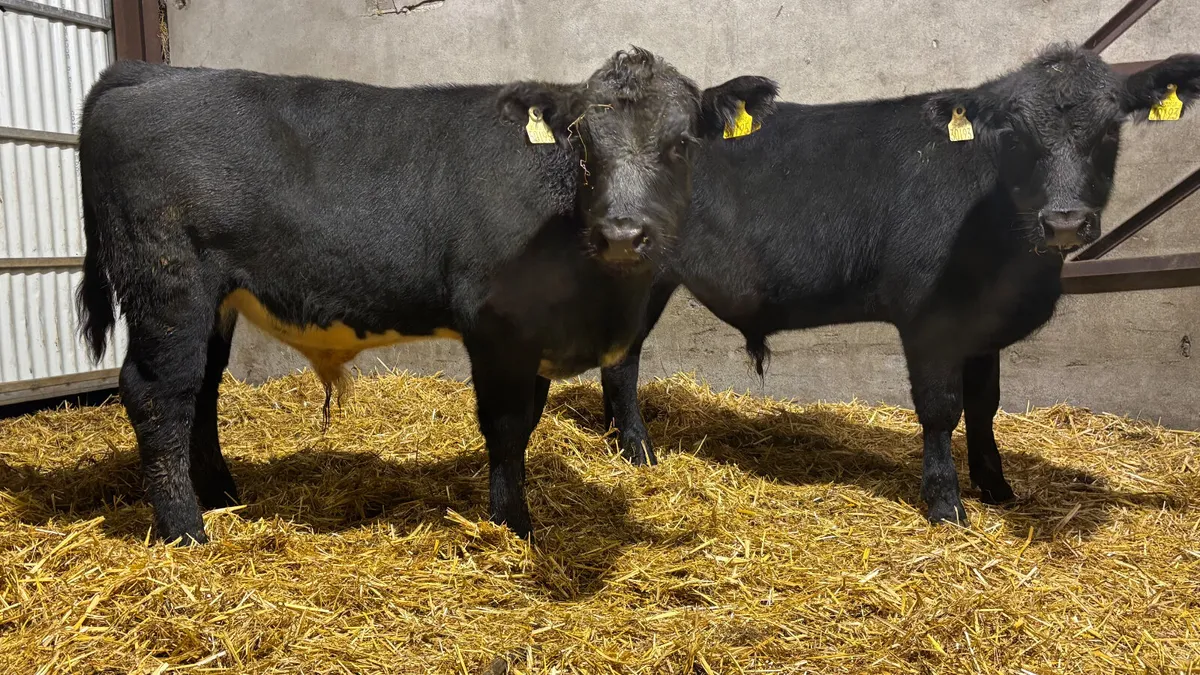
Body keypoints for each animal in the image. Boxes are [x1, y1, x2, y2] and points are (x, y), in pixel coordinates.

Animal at [76, 49, 779, 544]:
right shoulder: (495, 326)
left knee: (200, 390)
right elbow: (505, 424)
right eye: (582, 142)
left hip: (213, 301)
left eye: (682, 143)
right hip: (169, 285)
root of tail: (148, 73)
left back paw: (225, 495)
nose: (623, 234)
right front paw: (512, 524)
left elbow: (533, 419)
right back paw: (186, 531)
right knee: (158, 394)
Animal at [600, 45, 1200, 525]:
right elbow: (941, 410)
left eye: (1108, 130)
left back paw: (611, 437)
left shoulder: (982, 326)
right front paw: (946, 504)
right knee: (624, 361)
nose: (1065, 222)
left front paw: (996, 484)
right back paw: (636, 448)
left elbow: (985, 403)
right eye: (1016, 135)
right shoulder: (929, 321)